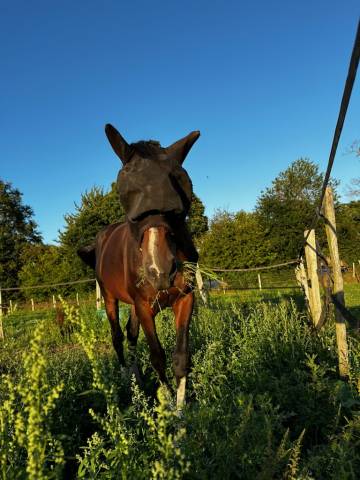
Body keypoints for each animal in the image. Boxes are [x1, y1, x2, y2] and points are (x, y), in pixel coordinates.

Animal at [77, 124, 200, 408]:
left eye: (177, 208)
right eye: (127, 198)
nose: (160, 270)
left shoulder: (185, 299)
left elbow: (181, 357)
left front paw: (181, 410)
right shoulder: (144, 307)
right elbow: (157, 357)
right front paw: (167, 405)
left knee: (130, 334)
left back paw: (137, 381)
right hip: (110, 298)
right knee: (118, 337)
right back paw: (125, 378)